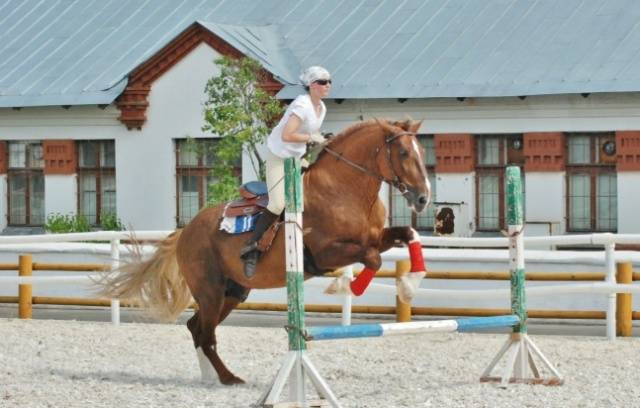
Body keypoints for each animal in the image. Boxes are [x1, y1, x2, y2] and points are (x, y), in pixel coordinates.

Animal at [101, 118, 430, 386]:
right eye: (404, 153)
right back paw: (228, 378)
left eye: (421, 152)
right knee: (206, 334)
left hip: (233, 292)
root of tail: (186, 231)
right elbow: (372, 258)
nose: (423, 198)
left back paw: (210, 376)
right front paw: (344, 286)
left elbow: (407, 235)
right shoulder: (325, 253)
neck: (345, 190)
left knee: (197, 328)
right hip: (210, 290)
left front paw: (409, 284)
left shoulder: (376, 238)